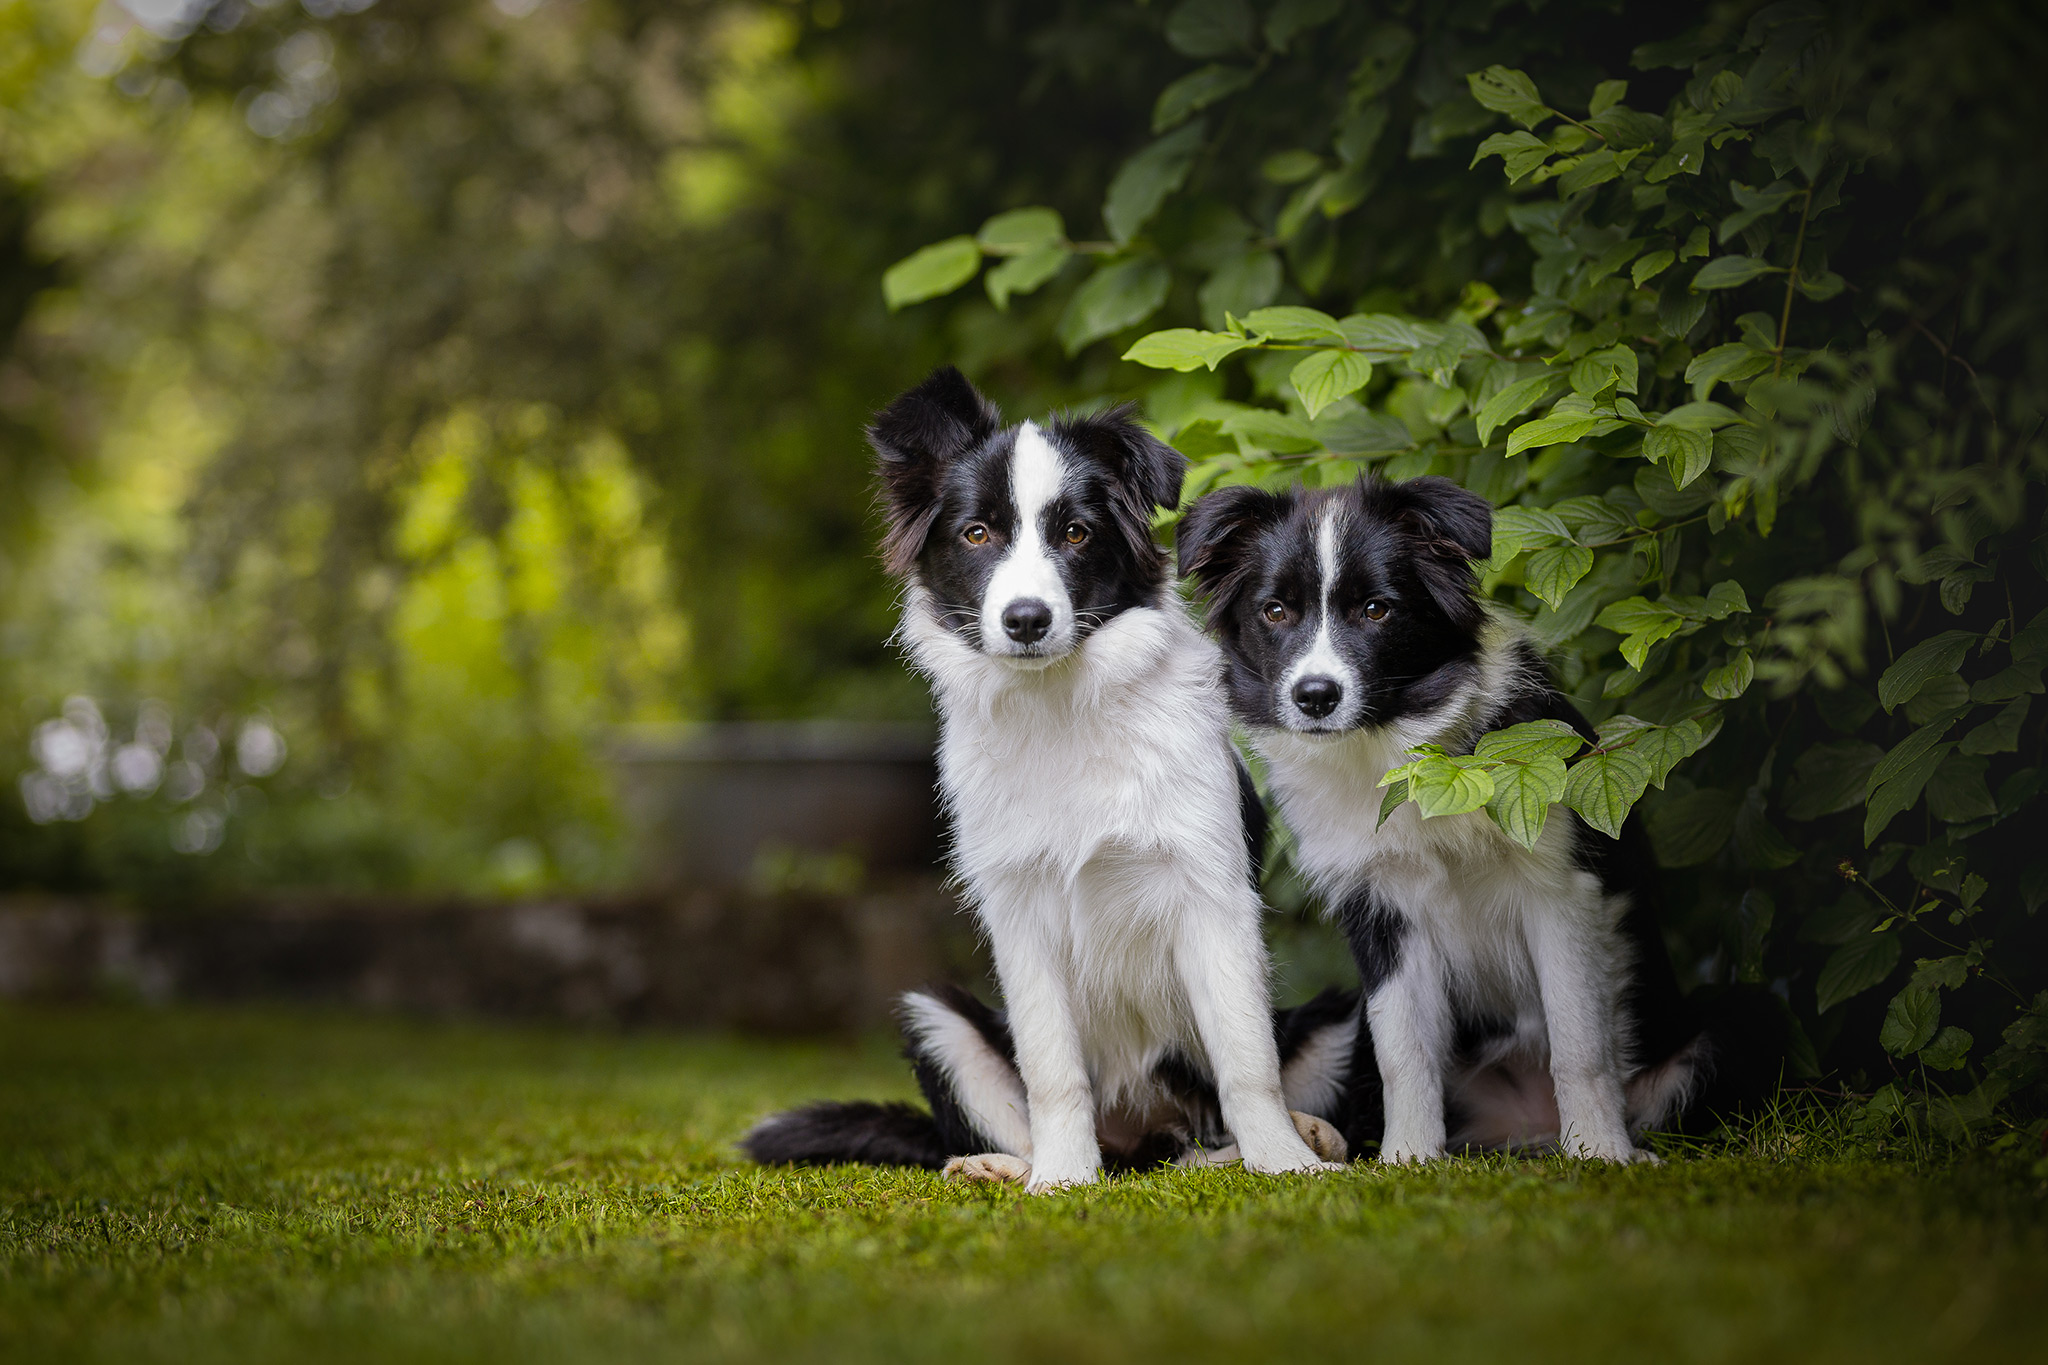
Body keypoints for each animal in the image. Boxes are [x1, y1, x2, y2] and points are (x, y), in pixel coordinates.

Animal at [745, 368, 1351, 1186]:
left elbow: (1246, 1058)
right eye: (977, 534)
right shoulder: (1019, 910)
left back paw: (1304, 1137)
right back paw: (1002, 1167)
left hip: (1335, 1019)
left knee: (1206, 1140)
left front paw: (1286, 1163)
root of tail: (1140, 1138)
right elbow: (1051, 1069)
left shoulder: (1211, 895)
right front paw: (1063, 1180)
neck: (1060, 706)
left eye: (1076, 533)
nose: (1027, 619)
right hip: (934, 1016)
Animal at [1179, 478, 1720, 1162]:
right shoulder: (1379, 909)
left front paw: (1601, 1152)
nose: (1315, 697)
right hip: (1337, 1029)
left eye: (1376, 610)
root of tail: (1523, 1130)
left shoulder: (1560, 890)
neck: (1400, 761)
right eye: (1275, 612)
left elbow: (1579, 1042)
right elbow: (1403, 1052)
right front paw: (1407, 1160)